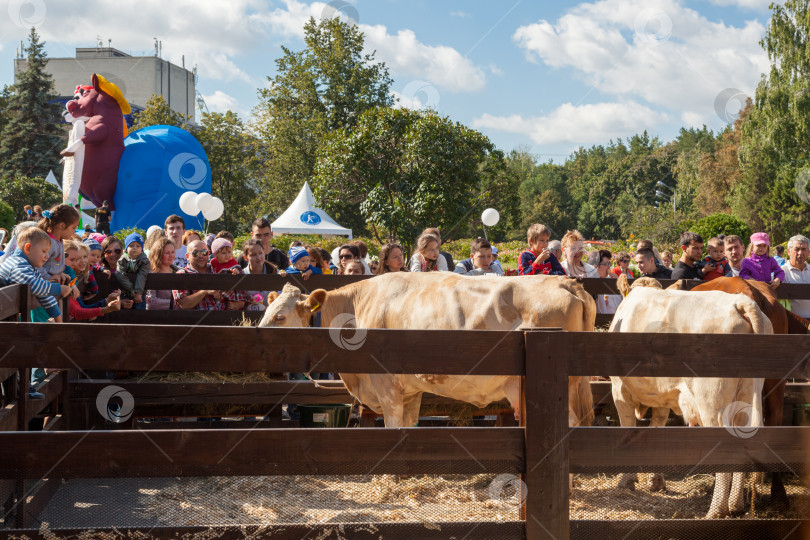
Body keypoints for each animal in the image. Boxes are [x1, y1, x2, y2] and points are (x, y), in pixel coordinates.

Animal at [258, 274, 592, 430]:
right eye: (266, 311)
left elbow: (393, 427)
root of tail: (566, 281)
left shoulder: (387, 387)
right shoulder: (410, 391)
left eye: (280, 317)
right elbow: (409, 427)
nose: (255, 334)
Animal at [608, 276, 772, 516]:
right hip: (746, 396)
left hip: (711, 403)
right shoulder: (663, 395)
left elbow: (627, 427)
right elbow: (656, 428)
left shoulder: (619, 389)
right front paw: (655, 481)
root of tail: (741, 302)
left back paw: (715, 511)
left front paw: (626, 480)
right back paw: (735, 505)